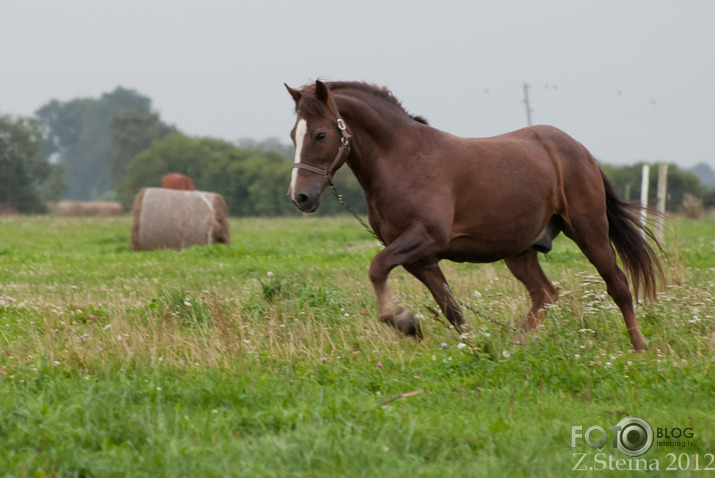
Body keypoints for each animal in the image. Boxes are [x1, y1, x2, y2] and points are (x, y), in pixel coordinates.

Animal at [286, 80, 664, 352]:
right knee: (545, 294)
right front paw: (471, 344)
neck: (403, 160)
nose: (300, 197)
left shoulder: (423, 239)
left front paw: (404, 320)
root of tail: (581, 150)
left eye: (320, 134)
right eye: (293, 135)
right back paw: (517, 344)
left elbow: (377, 268)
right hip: (520, 251)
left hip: (588, 231)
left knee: (618, 284)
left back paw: (639, 346)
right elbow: (451, 308)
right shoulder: (419, 258)